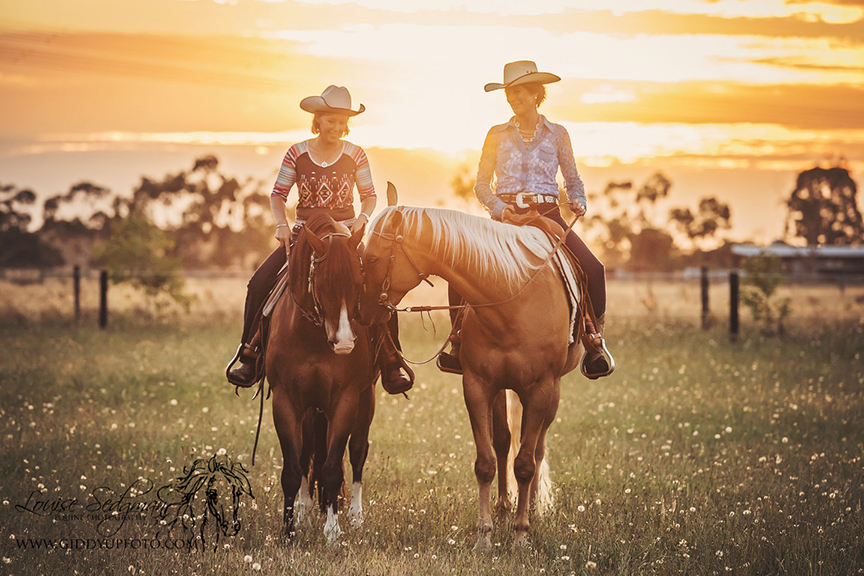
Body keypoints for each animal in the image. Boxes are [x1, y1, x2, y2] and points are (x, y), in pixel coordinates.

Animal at [266, 213, 374, 544]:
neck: (312, 337)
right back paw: (304, 512)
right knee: (306, 454)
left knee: (357, 451)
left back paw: (354, 515)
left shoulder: (345, 399)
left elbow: (332, 468)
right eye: (323, 284)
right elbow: (293, 467)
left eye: (359, 283)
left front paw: (333, 531)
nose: (345, 343)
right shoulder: (285, 400)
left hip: (365, 400)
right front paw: (288, 531)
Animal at [362, 206, 584, 548]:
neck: (511, 300)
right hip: (502, 390)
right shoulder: (478, 386)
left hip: (551, 393)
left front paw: (521, 536)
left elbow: (525, 464)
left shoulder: (541, 389)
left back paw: (532, 510)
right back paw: (504, 508)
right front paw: (485, 537)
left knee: (536, 449)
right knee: (504, 441)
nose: (362, 312)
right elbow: (486, 463)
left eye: (372, 258)